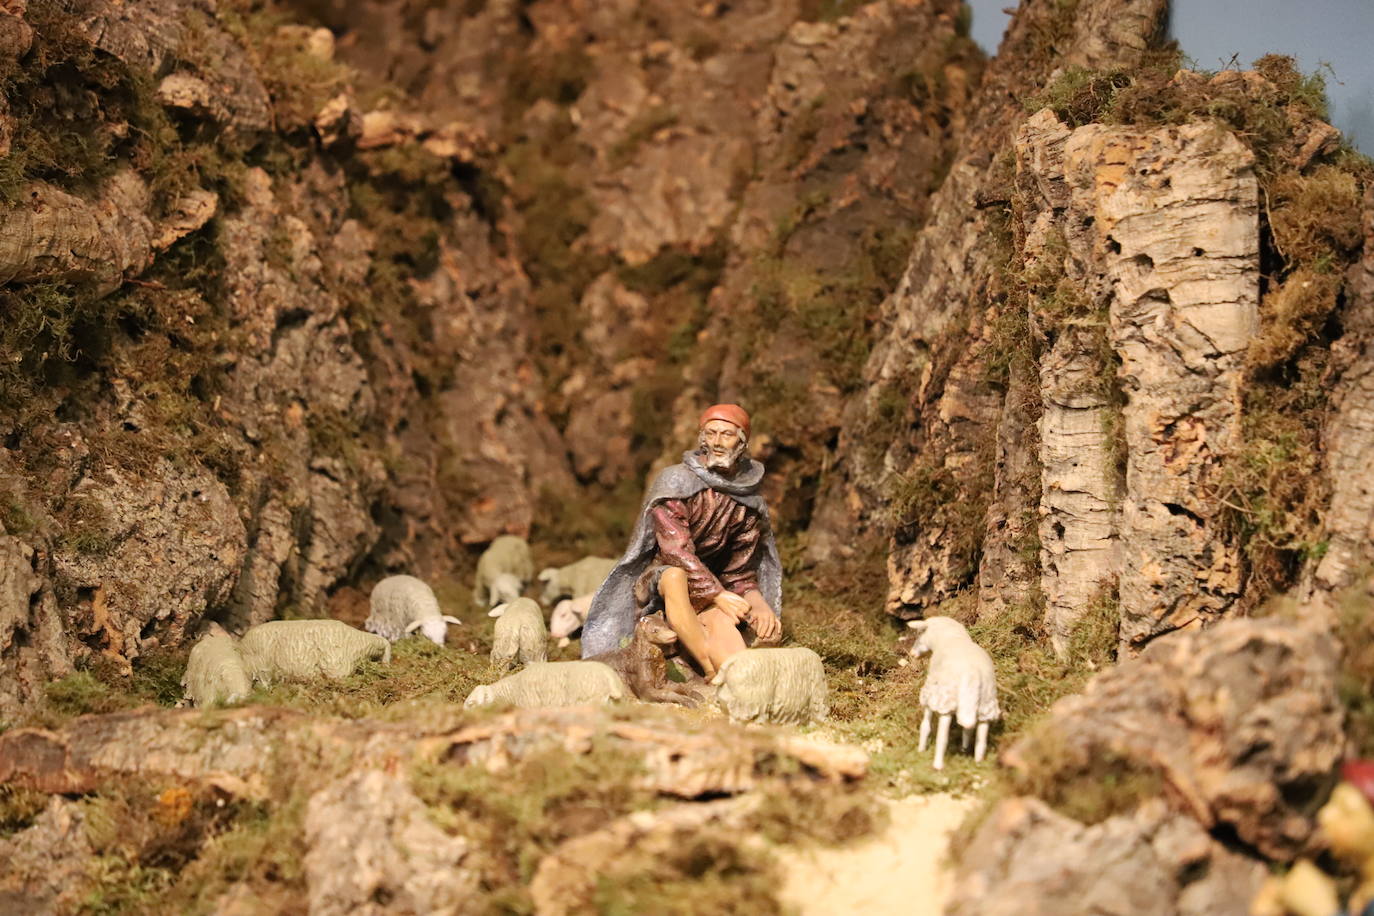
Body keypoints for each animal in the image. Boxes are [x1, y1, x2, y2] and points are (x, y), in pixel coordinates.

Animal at [906, 615, 1005, 769]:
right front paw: (964, 747)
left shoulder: (931, 692)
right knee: (981, 741)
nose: (912, 653)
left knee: (942, 738)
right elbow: (967, 731)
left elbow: (925, 725)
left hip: (946, 702)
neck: (952, 637)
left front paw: (921, 750)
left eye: (919, 634)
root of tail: (972, 673)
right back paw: (977, 763)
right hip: (985, 705)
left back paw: (937, 766)